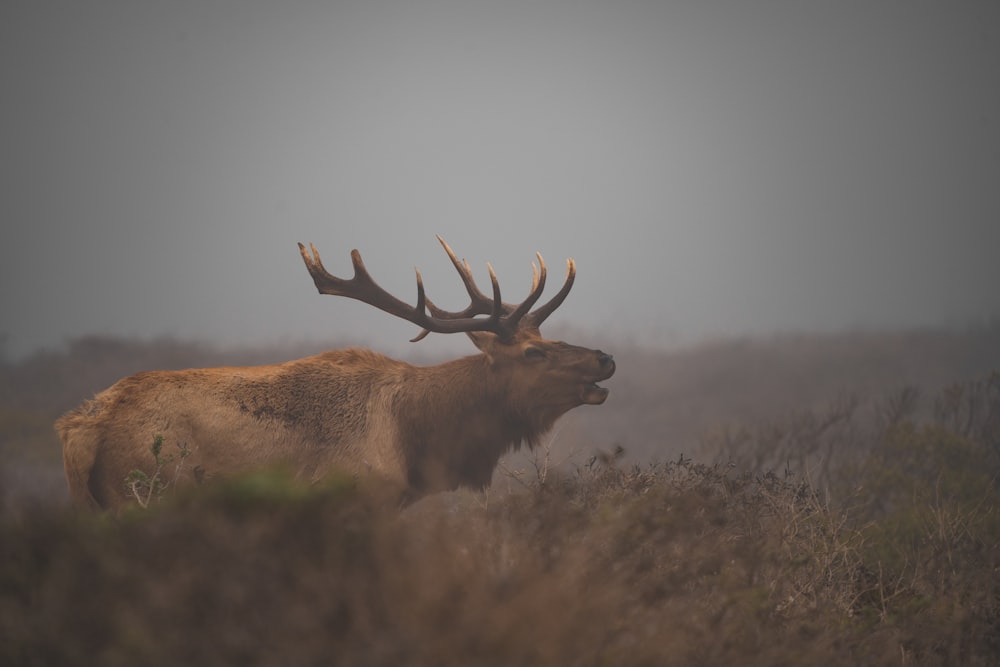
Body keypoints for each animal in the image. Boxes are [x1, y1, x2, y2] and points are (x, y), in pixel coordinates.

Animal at [60, 236, 616, 512]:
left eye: (545, 341)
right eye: (533, 353)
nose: (605, 358)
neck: (416, 437)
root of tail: (83, 426)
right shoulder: (357, 498)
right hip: (146, 493)